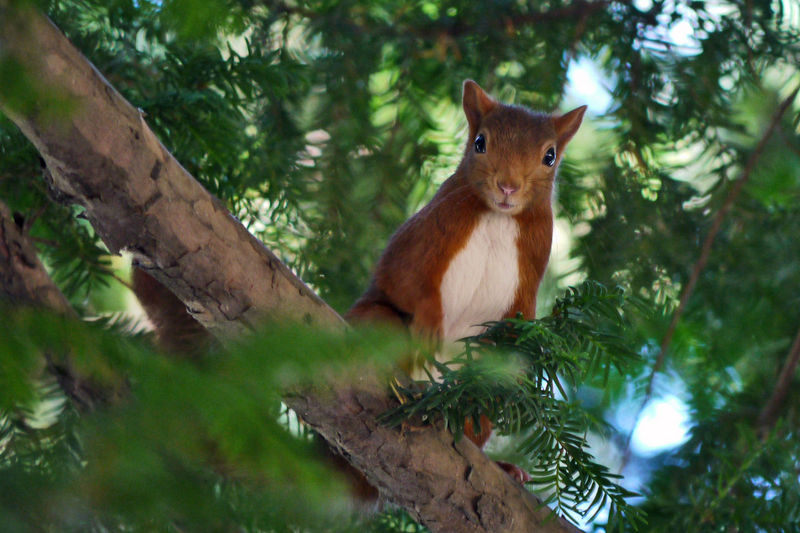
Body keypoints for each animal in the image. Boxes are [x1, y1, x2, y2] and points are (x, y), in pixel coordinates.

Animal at [346, 80, 584, 482]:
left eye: (550, 156)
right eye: (480, 143)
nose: (508, 186)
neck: (499, 218)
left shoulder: (531, 273)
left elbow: (522, 320)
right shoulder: (425, 233)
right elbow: (403, 277)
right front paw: (430, 320)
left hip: (479, 401)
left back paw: (503, 466)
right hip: (376, 323)